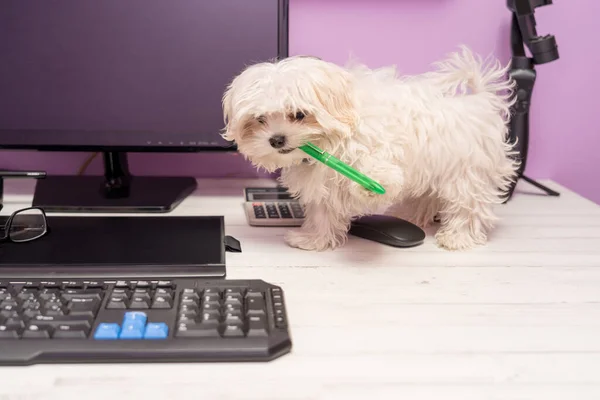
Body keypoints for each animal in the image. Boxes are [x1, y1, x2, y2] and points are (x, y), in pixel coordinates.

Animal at [223, 47, 516, 252]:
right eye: (259, 119)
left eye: (298, 114)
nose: (276, 140)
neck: (331, 141)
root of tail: (479, 100)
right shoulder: (322, 184)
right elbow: (322, 212)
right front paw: (314, 240)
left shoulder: (374, 148)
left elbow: (373, 167)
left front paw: (373, 183)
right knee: (426, 197)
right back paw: (410, 216)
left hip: (467, 174)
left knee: (468, 206)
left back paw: (458, 237)